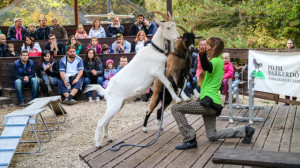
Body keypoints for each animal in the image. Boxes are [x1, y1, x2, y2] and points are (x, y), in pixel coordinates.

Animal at [85, 11, 183, 147]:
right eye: (168, 27)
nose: (179, 38)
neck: (154, 50)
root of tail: (106, 91)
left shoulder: (162, 71)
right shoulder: (158, 72)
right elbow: (168, 84)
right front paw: (178, 99)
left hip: (118, 105)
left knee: (107, 121)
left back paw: (108, 138)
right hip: (114, 105)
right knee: (101, 121)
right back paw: (98, 144)